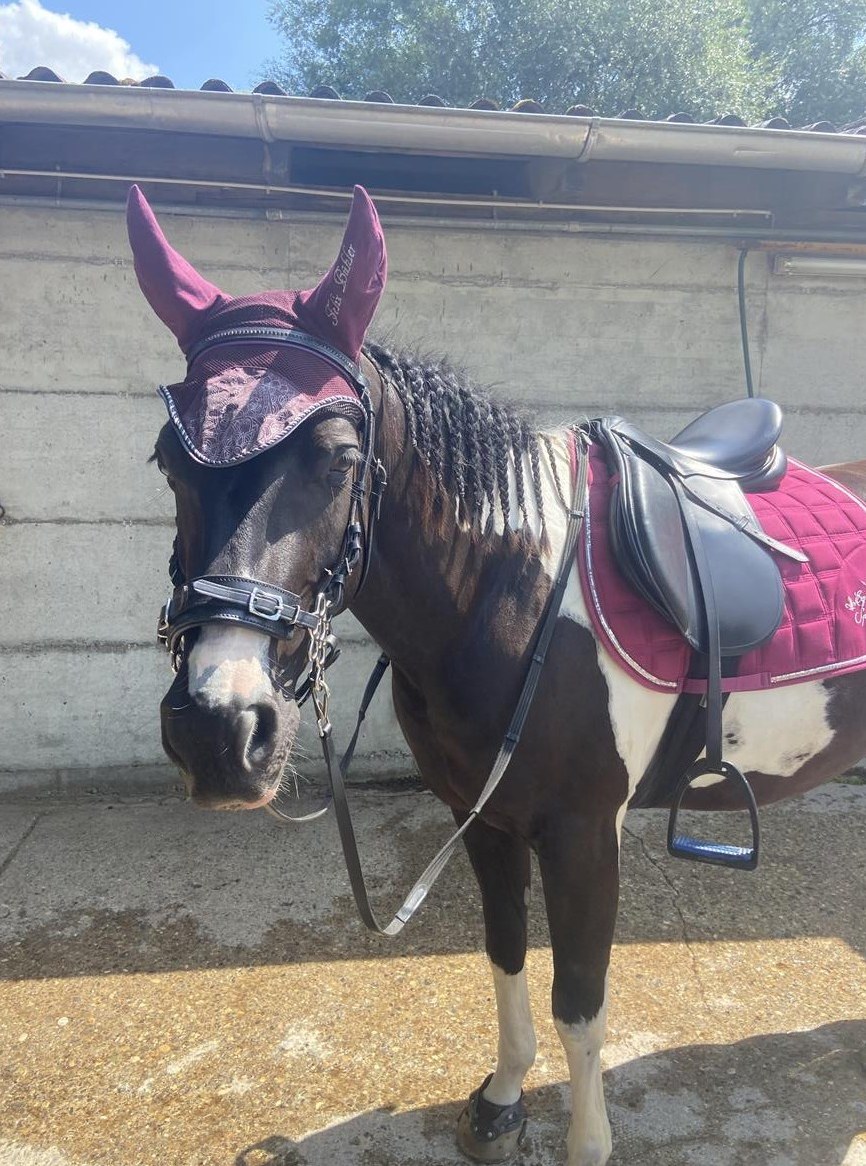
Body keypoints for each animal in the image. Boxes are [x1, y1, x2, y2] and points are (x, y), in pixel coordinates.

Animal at [126, 183, 866, 1166]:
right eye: (169, 460)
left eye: (338, 457)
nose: (219, 729)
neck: (511, 596)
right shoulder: (482, 821)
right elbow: (505, 955)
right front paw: (503, 1099)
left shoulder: (585, 834)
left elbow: (579, 1004)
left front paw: (585, 1143)